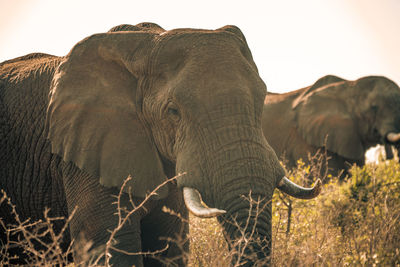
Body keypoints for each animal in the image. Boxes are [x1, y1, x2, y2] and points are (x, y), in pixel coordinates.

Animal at [0, 23, 320, 267]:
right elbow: (110, 248)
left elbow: (168, 250)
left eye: (261, 100)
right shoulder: (86, 148)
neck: (141, 47)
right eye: (173, 112)